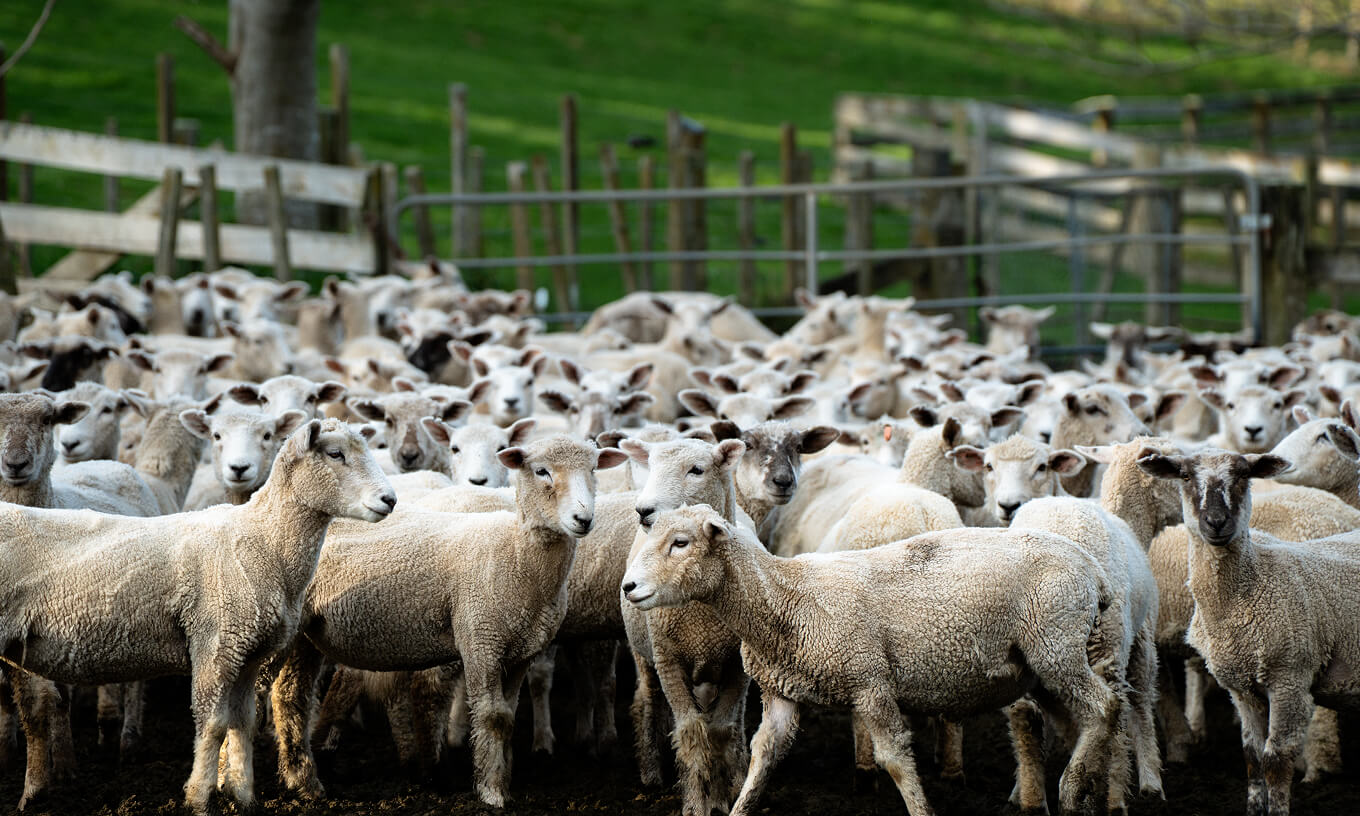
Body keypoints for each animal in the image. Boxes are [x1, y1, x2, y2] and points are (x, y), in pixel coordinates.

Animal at [270, 436, 625, 808]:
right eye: (542, 471)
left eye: (593, 470)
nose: (583, 519)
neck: (516, 556)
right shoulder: (480, 641)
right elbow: (493, 717)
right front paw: (491, 792)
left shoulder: (521, 653)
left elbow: (509, 717)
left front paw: (503, 781)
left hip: (308, 636)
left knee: (290, 695)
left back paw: (302, 780)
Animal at [621, 506, 1123, 816]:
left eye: (681, 542)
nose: (628, 588)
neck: (787, 600)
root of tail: (1091, 569)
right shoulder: (781, 693)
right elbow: (764, 757)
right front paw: (741, 807)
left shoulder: (871, 682)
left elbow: (894, 759)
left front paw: (921, 808)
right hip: (1038, 666)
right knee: (1080, 722)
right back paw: (1082, 791)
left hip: (1056, 643)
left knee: (1104, 707)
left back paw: (1072, 788)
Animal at [1136, 448, 1360, 816]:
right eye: (1185, 476)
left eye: (1243, 475)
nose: (1216, 522)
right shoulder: (1240, 687)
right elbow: (1253, 758)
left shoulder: (1289, 679)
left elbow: (1276, 761)